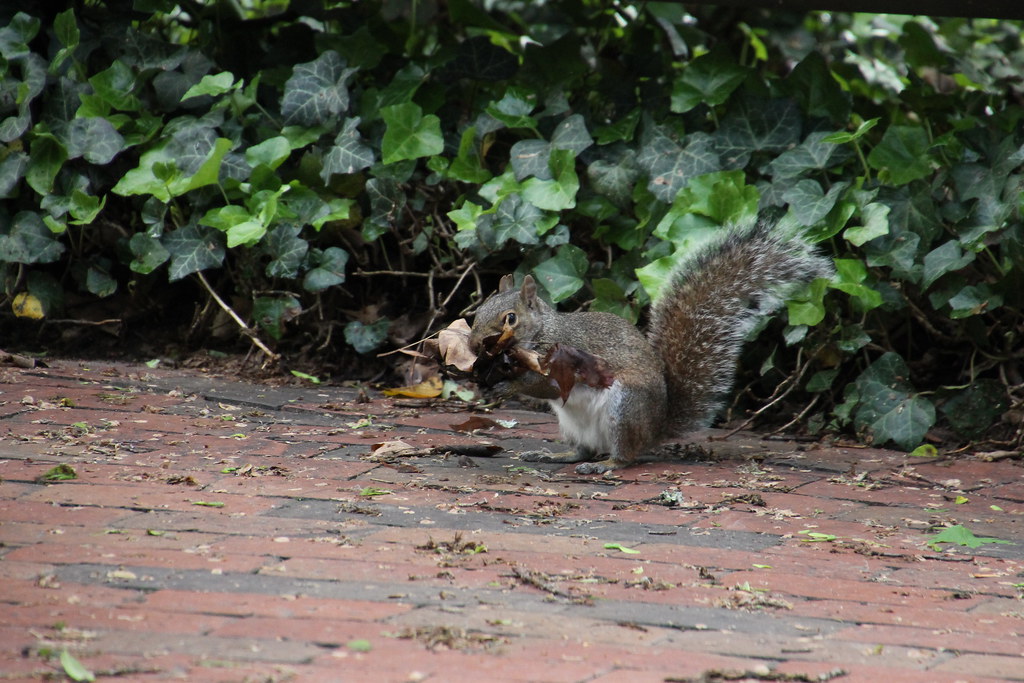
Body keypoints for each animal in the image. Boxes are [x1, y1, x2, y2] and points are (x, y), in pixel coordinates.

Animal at [468, 219, 833, 475]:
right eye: (480, 308)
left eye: (510, 318)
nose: (472, 345)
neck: (542, 330)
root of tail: (655, 428)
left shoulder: (565, 357)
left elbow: (547, 385)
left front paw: (507, 385)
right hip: (570, 424)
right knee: (582, 449)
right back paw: (555, 455)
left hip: (625, 408)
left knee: (625, 456)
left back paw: (605, 465)